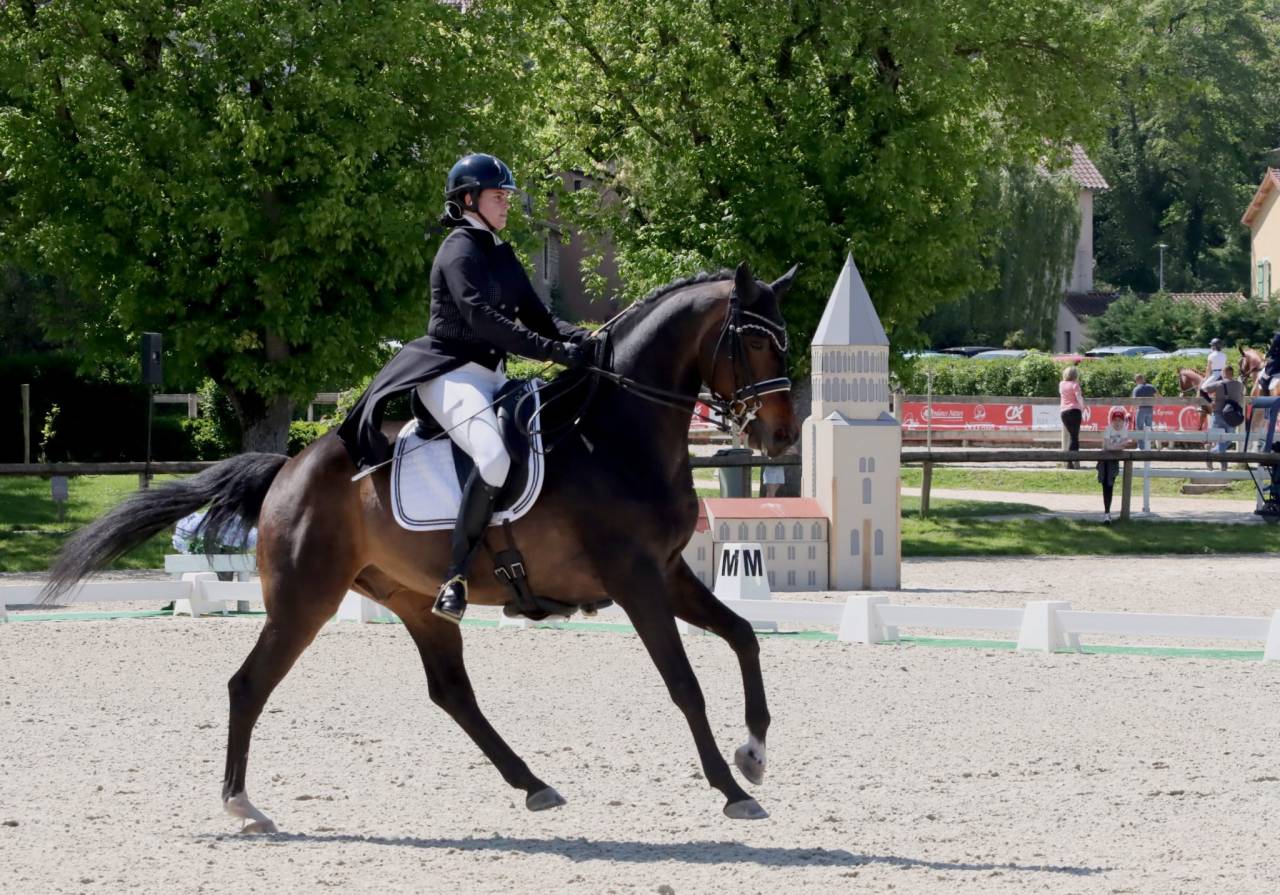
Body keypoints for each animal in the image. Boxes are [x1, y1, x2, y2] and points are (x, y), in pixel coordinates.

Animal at [41, 263, 801, 832]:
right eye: (755, 342)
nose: (781, 438)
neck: (619, 431)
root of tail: (288, 467)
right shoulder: (635, 578)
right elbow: (684, 683)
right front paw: (733, 788)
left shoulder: (667, 572)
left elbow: (744, 636)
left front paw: (756, 752)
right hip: (305, 599)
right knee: (249, 684)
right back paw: (241, 804)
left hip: (411, 598)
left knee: (451, 691)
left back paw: (533, 783)